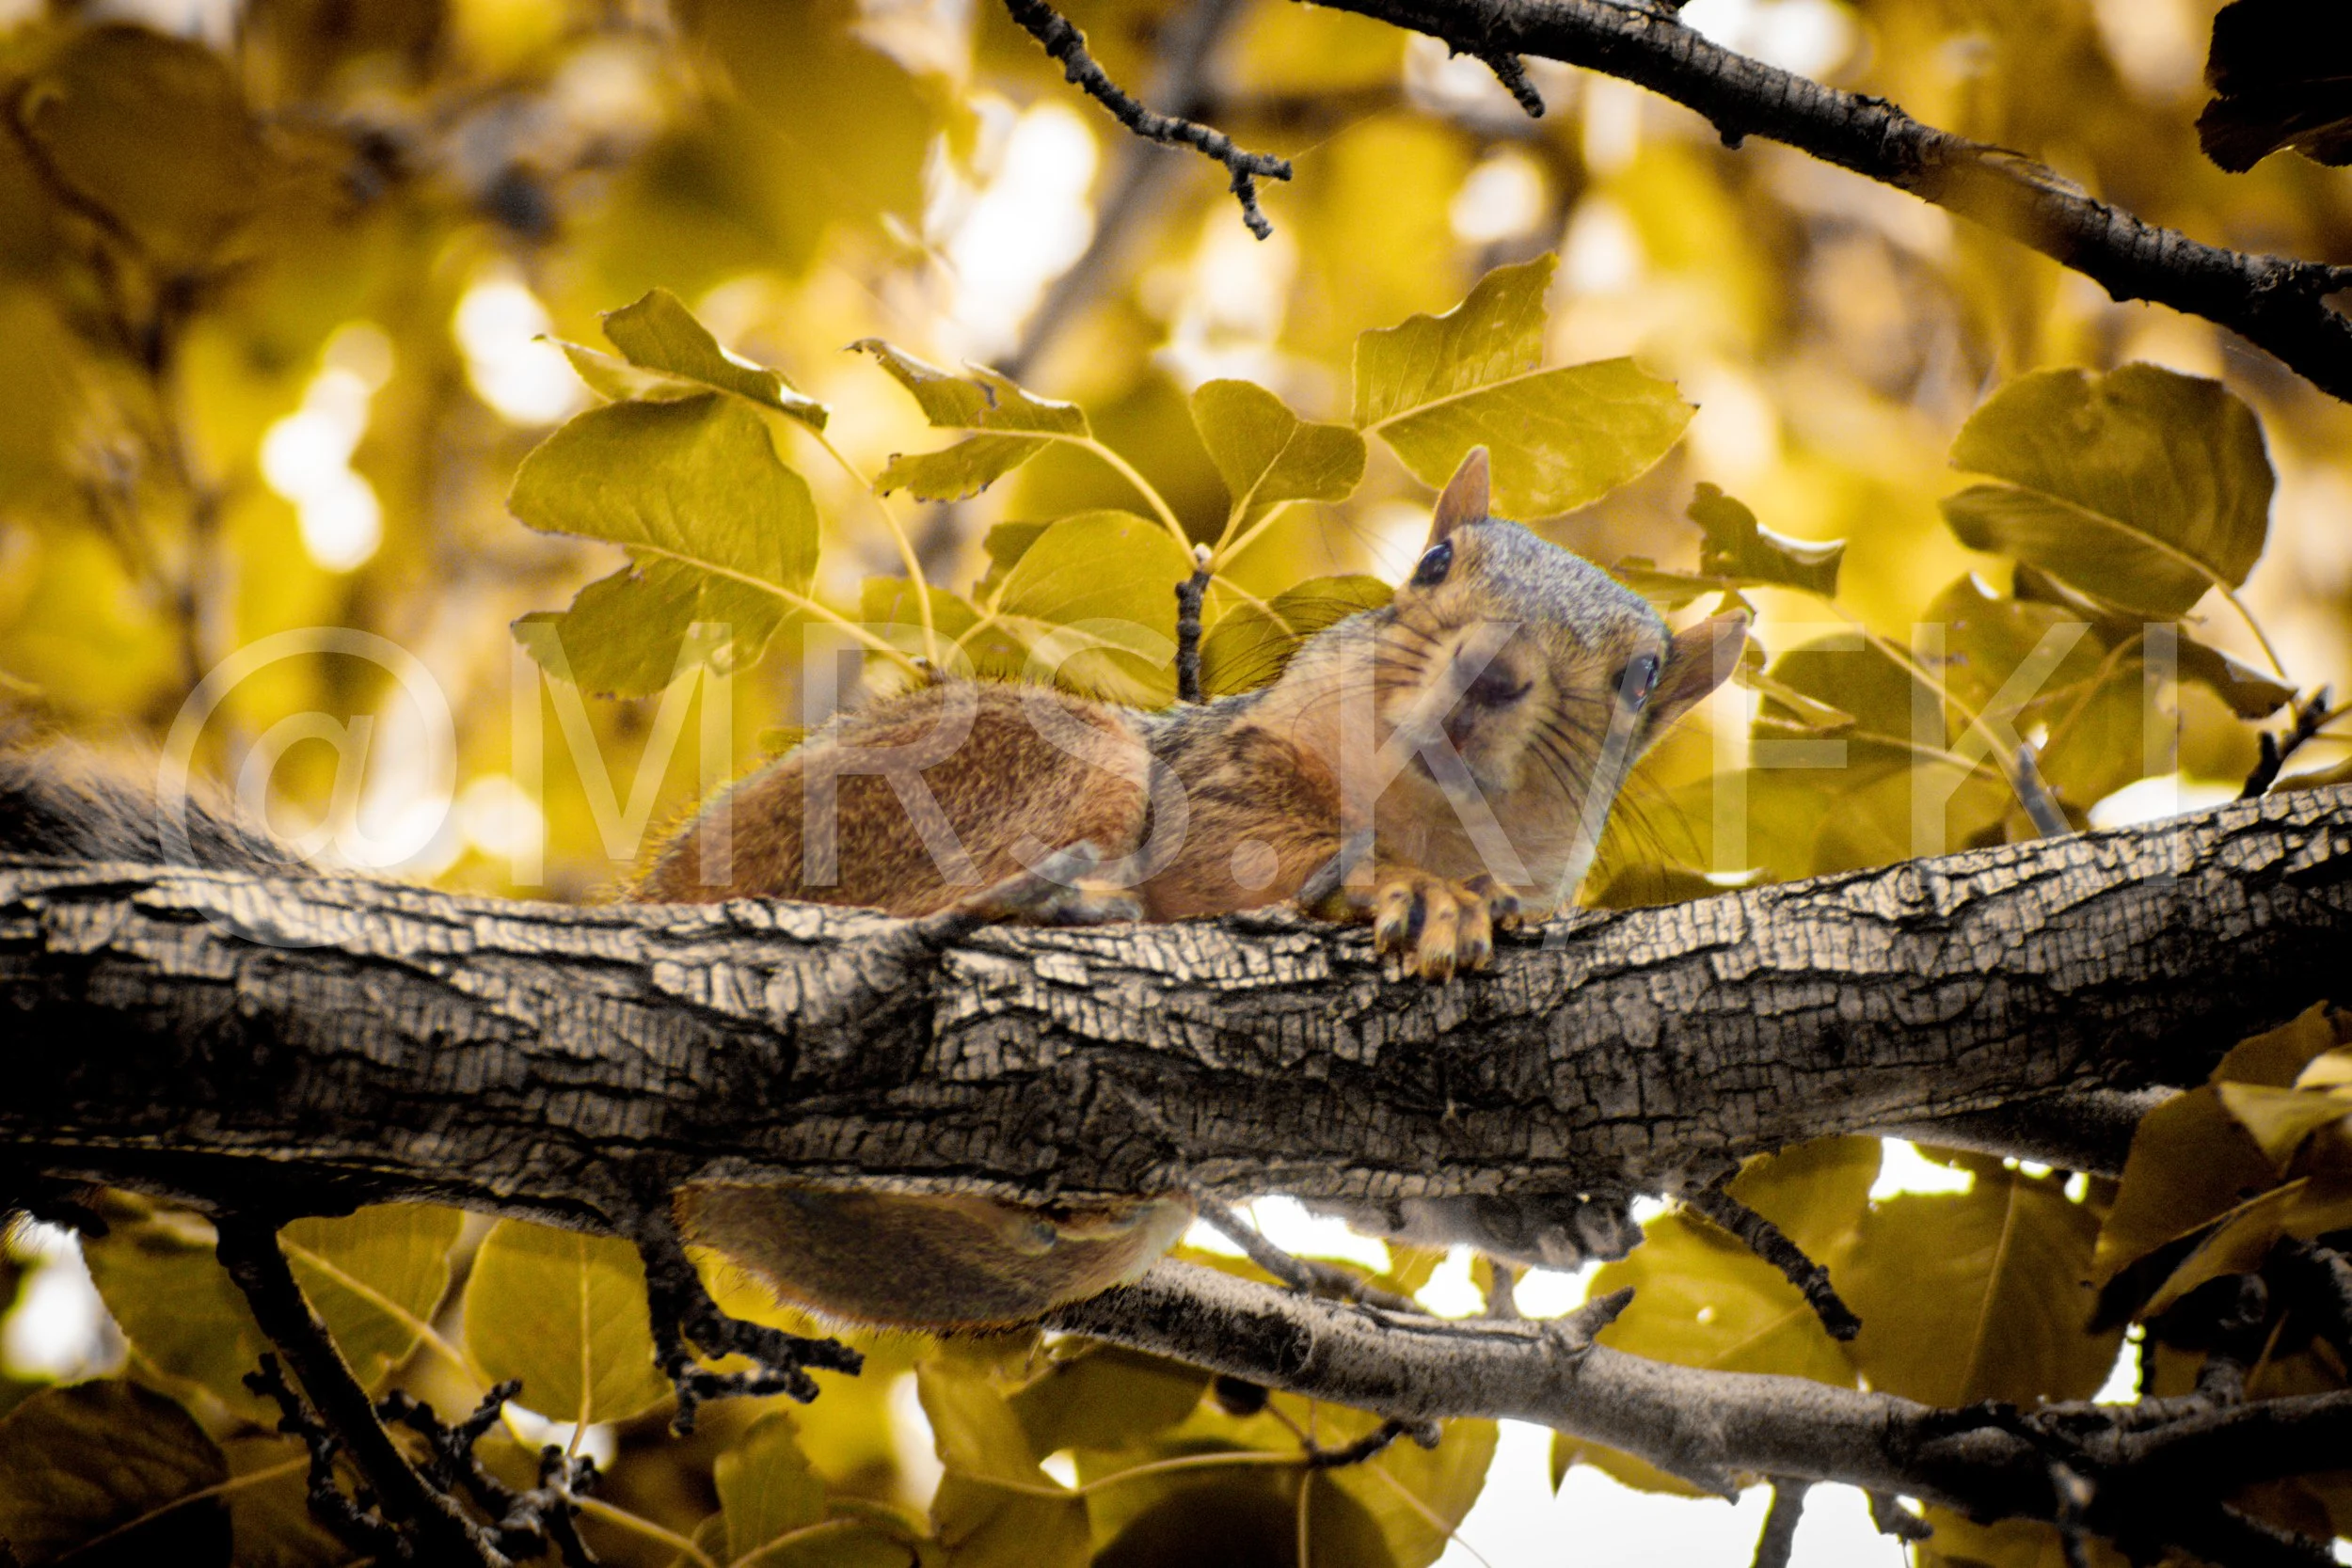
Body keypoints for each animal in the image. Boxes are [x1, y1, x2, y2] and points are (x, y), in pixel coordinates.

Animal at [0, 447, 1746, 1334]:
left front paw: (1540, 1197)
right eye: (1432, 570)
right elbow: (1248, 868)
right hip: (1002, 776)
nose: (1494, 674)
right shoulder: (1219, 786)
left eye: (1642, 676)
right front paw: (1411, 900)